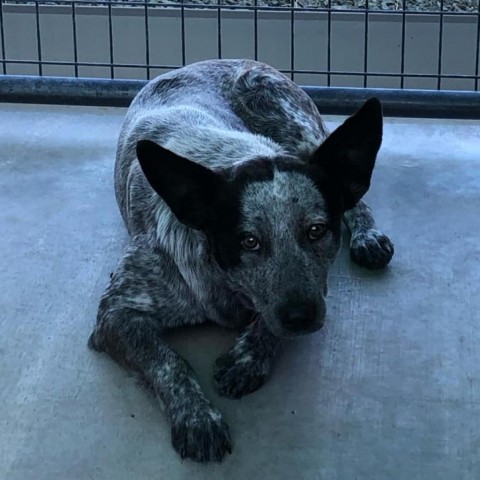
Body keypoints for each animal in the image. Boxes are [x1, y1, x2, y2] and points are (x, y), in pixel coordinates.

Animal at [87, 58, 394, 464]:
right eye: (249, 241)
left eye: (316, 231)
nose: (302, 317)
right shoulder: (116, 313)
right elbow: (169, 361)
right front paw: (198, 416)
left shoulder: (315, 289)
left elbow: (272, 318)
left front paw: (250, 355)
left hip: (298, 128)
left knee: (356, 201)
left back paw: (367, 237)